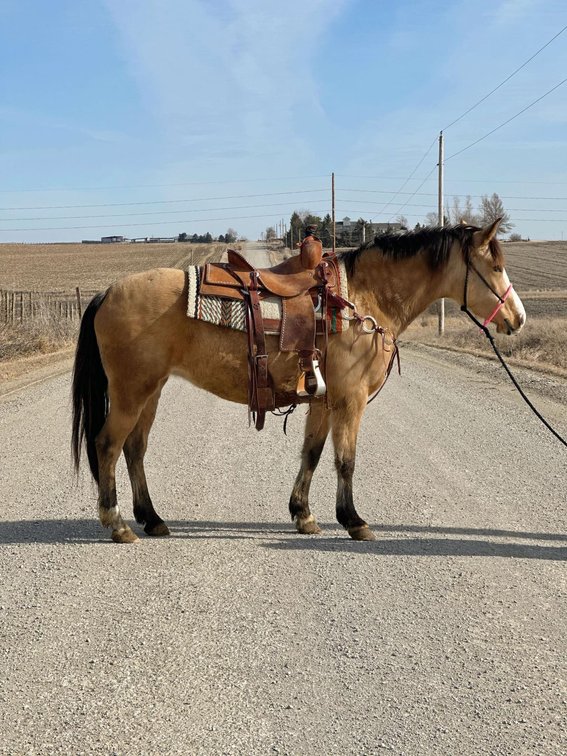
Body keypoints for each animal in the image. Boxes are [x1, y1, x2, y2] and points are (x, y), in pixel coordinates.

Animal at [72, 220, 526, 543]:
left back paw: (152, 519)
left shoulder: (323, 401)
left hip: (151, 391)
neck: (359, 300)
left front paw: (303, 515)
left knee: (135, 449)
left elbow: (312, 454)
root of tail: (107, 292)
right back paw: (117, 523)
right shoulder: (350, 400)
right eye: (496, 266)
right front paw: (353, 520)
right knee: (108, 445)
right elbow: (346, 459)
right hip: (131, 393)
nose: (518, 318)